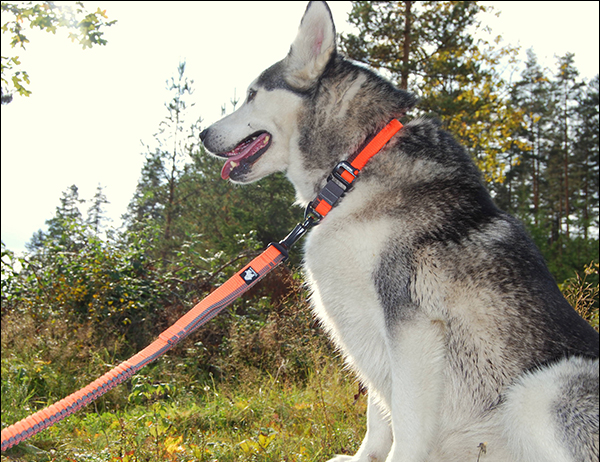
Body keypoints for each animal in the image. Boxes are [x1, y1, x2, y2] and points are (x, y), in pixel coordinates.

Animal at [199, 1, 596, 460]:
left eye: (251, 95)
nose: (202, 134)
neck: (352, 169)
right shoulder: (371, 334)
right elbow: (378, 414)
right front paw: (363, 458)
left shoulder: (411, 324)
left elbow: (405, 422)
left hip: (540, 389)